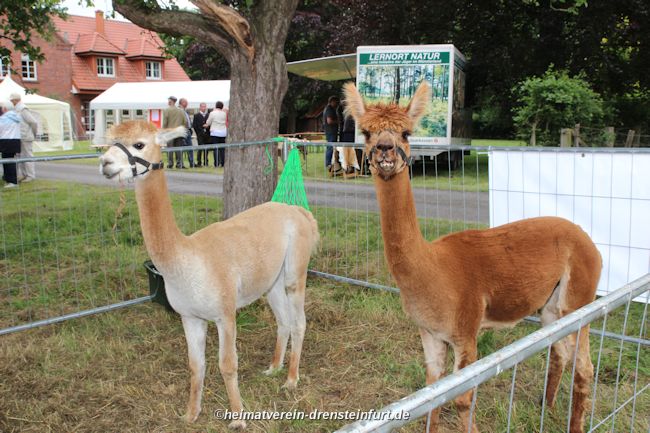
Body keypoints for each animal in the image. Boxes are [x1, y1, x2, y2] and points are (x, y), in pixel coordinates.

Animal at [99, 121, 319, 430]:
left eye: (139, 144)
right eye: (110, 142)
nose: (104, 163)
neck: (188, 260)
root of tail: (296, 210)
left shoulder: (225, 313)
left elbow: (227, 365)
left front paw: (238, 418)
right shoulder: (190, 316)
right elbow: (195, 365)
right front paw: (191, 414)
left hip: (295, 270)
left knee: (299, 322)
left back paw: (291, 380)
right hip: (270, 280)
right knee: (283, 321)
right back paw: (274, 367)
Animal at [343, 82, 601, 433]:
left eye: (407, 132)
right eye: (366, 132)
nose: (384, 148)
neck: (431, 268)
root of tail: (586, 237)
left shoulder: (466, 330)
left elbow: (463, 400)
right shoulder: (430, 333)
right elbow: (431, 395)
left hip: (579, 299)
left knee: (584, 367)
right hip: (552, 308)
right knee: (559, 352)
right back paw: (546, 408)